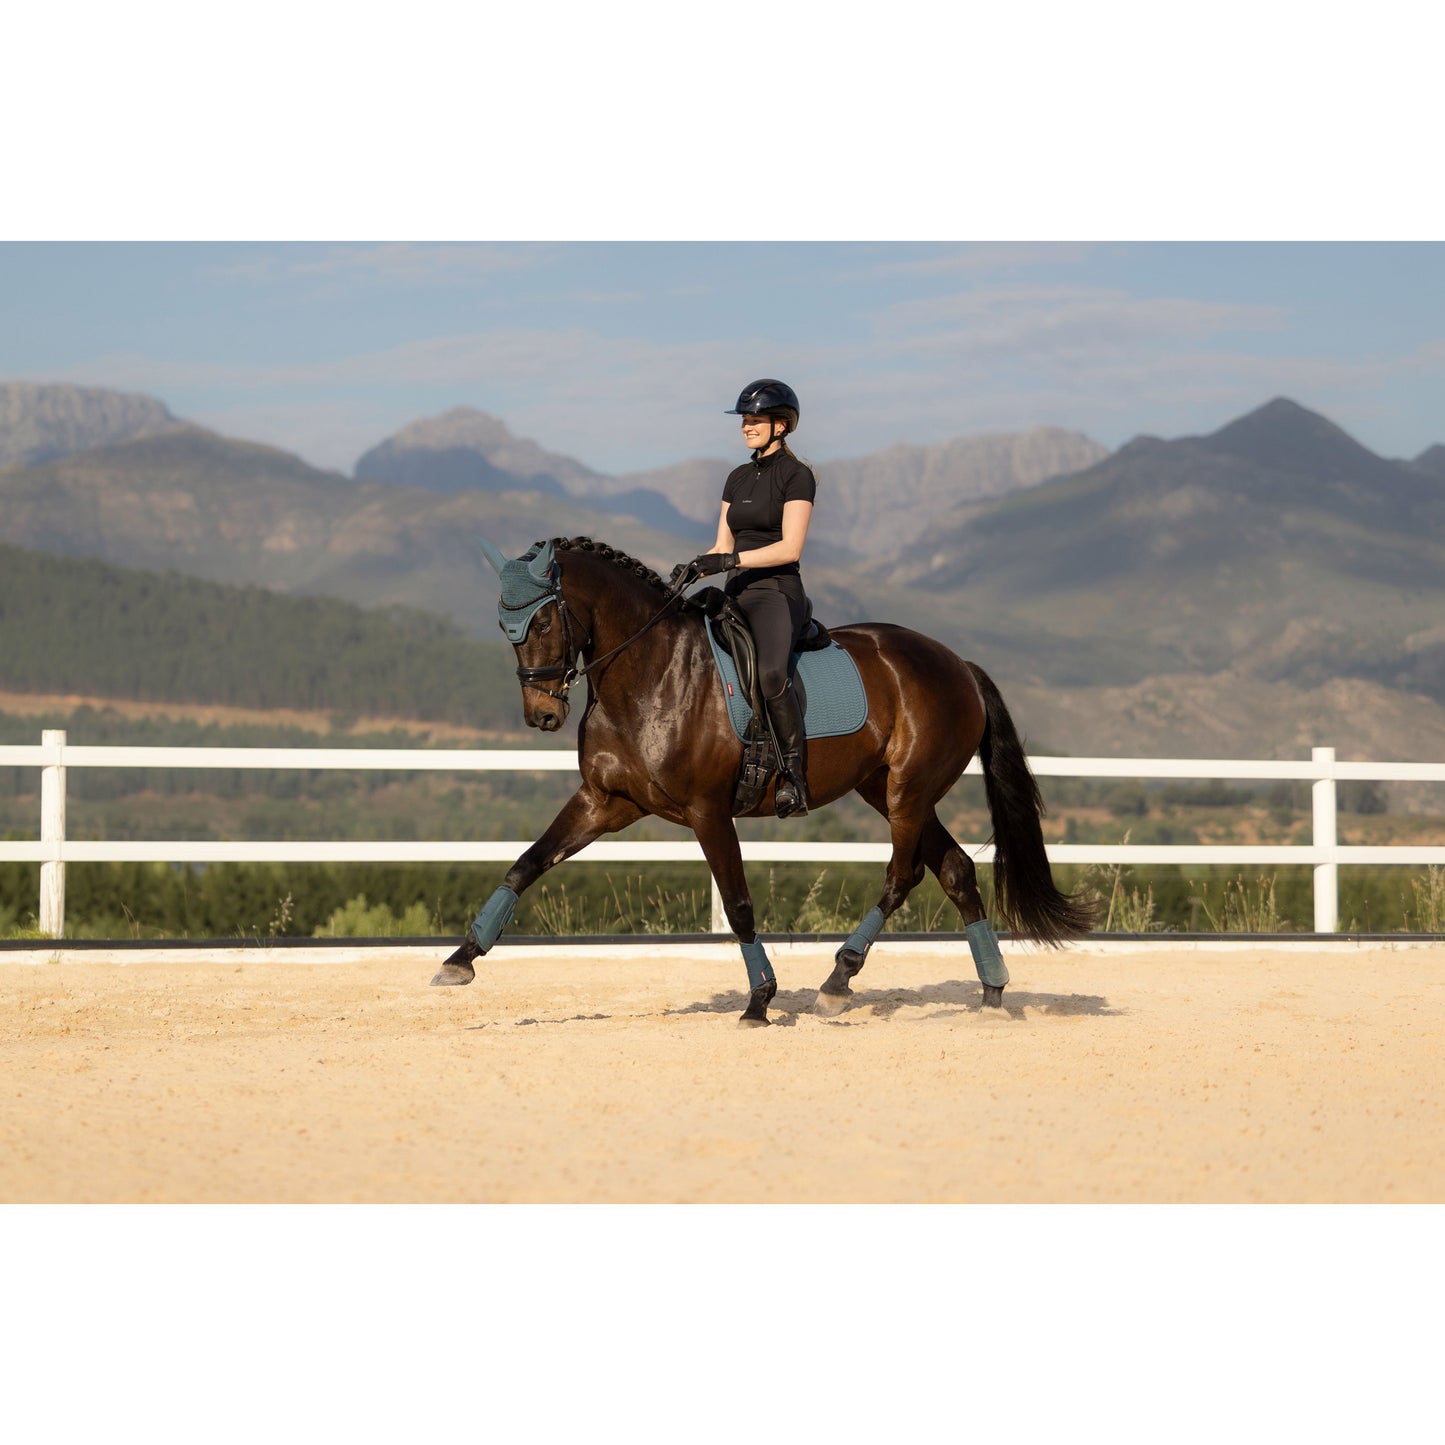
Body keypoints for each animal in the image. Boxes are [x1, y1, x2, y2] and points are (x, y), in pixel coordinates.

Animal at [431, 536, 1097, 1025]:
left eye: (544, 622)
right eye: (504, 624)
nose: (541, 715)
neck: (649, 673)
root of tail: (957, 663)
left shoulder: (707, 811)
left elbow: (739, 904)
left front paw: (759, 1001)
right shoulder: (606, 801)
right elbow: (526, 865)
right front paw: (460, 960)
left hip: (907, 790)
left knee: (902, 875)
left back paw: (838, 980)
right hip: (885, 789)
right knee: (955, 869)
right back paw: (992, 993)